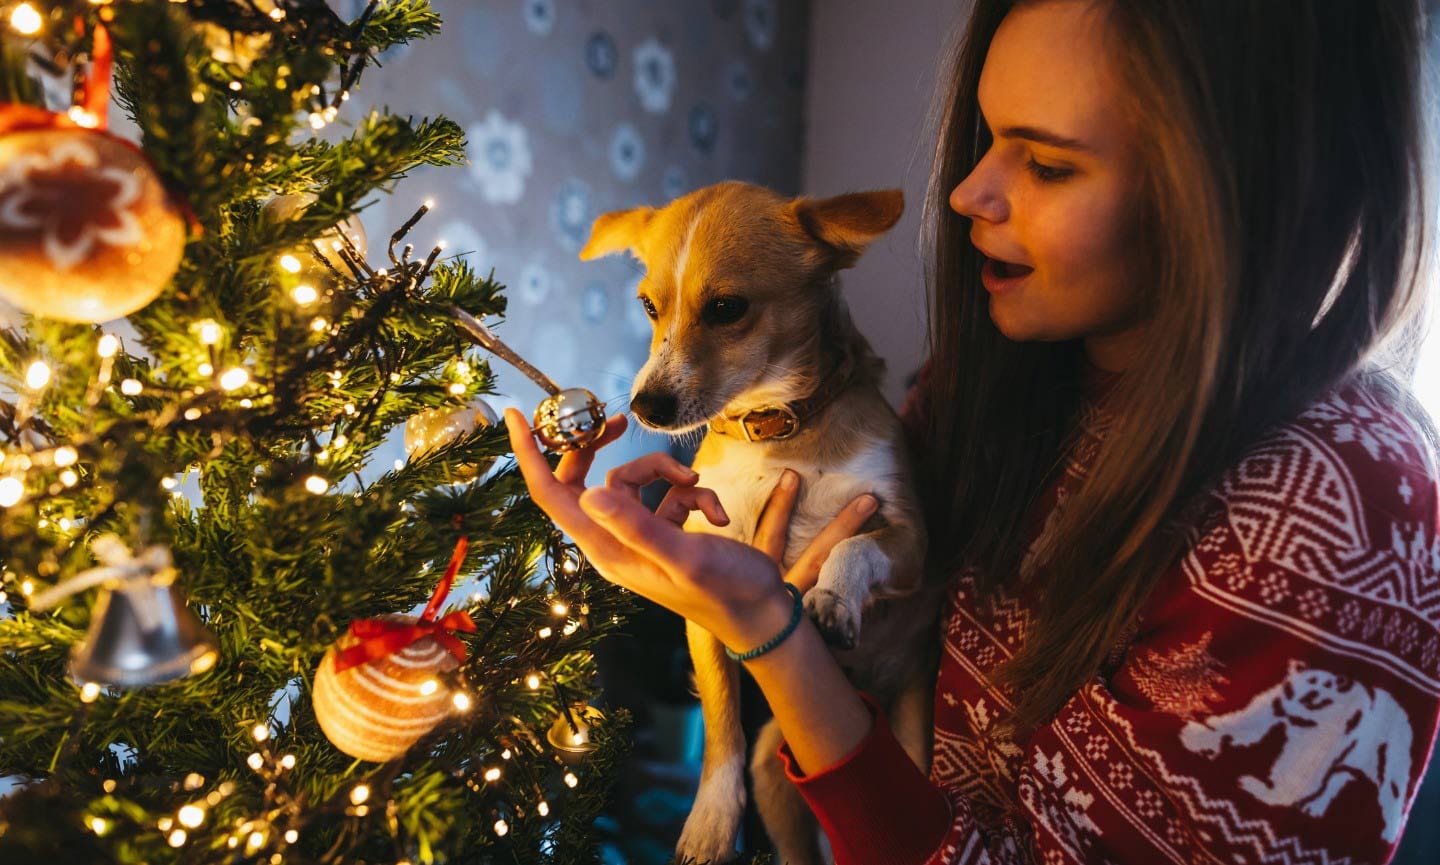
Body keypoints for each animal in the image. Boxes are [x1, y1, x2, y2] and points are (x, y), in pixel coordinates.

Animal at [578, 182, 938, 863]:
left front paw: (832, 599)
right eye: (648, 307)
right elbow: (721, 725)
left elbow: (854, 548)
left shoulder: (911, 540)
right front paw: (711, 821)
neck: (778, 430)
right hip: (777, 771)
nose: (645, 406)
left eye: (727, 308)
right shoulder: (704, 608)